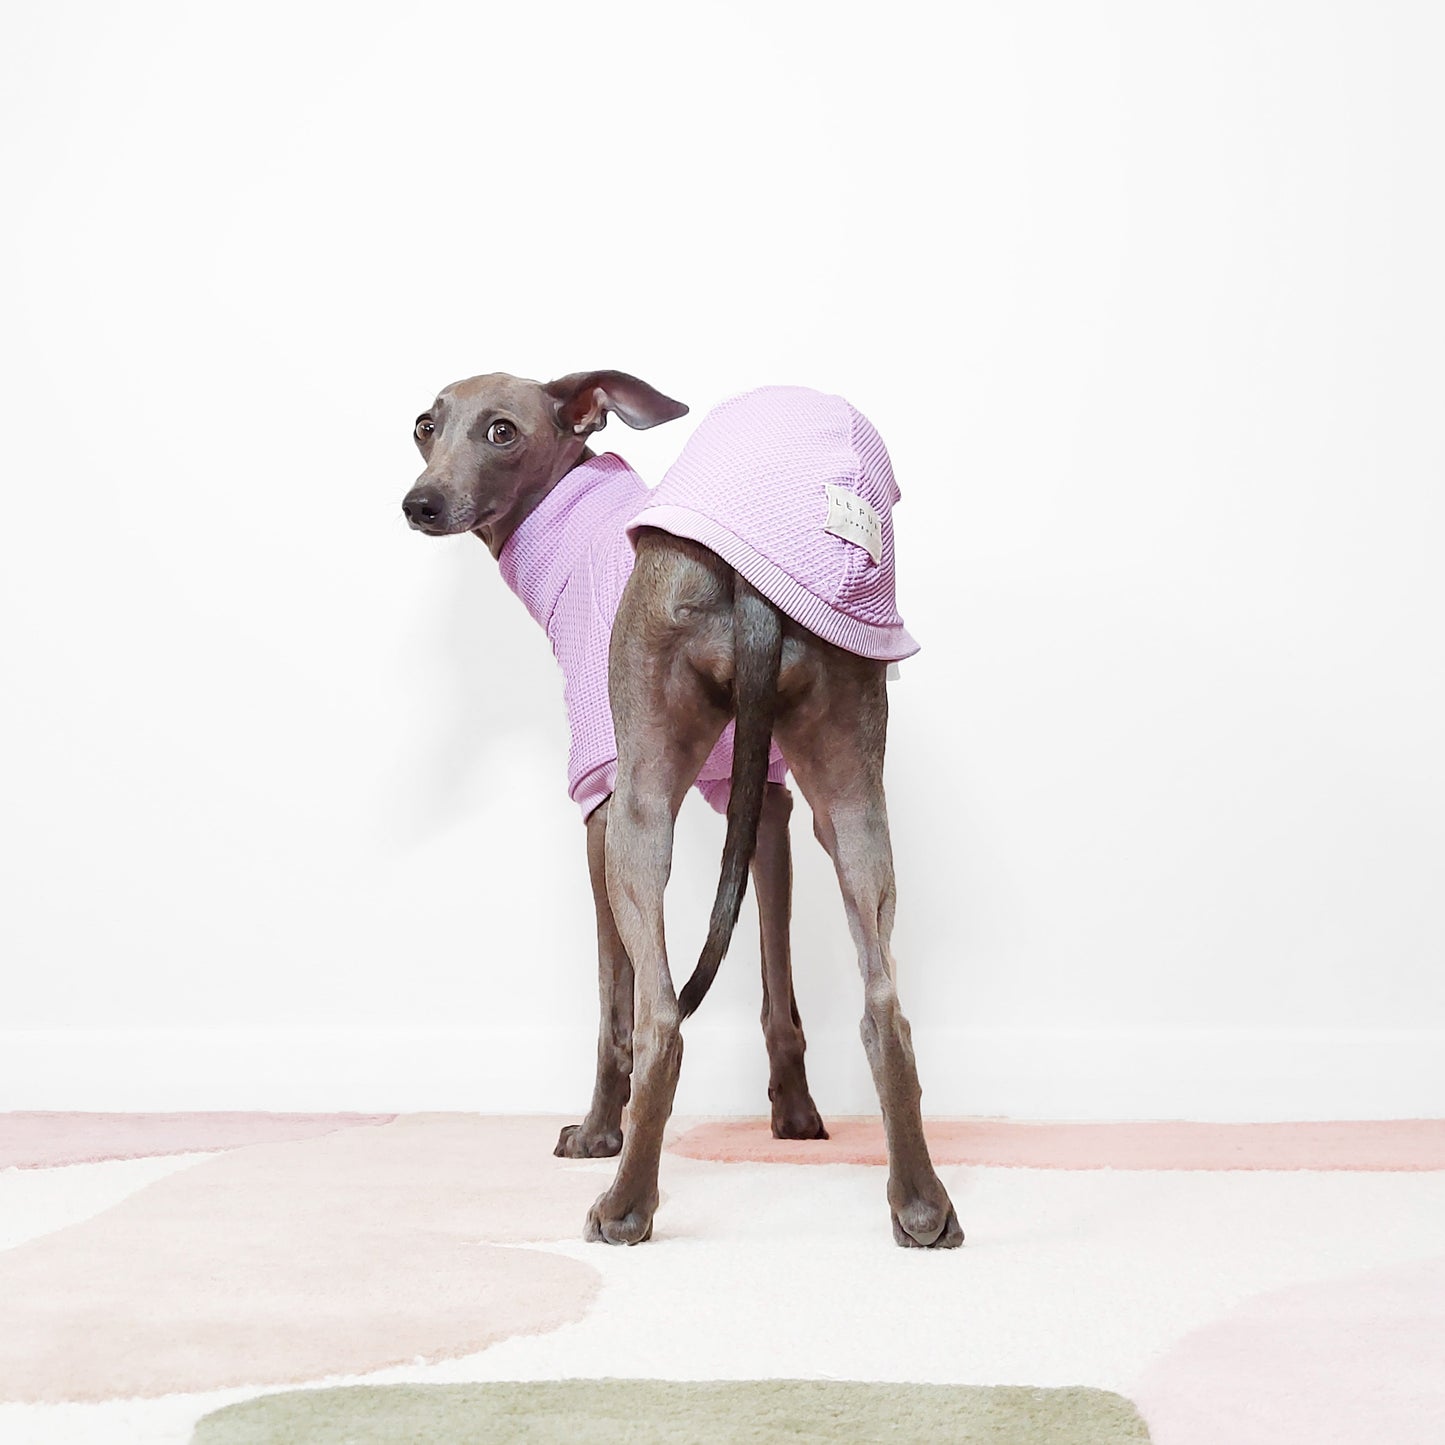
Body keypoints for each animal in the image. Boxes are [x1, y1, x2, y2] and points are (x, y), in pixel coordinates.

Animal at [401, 367, 959, 1248]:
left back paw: (625, 1203)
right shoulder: (765, 802)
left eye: (501, 431)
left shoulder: (602, 804)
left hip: (643, 807)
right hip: (851, 800)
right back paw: (921, 1203)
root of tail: (750, 587)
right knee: (884, 1004)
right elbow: (776, 982)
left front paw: (597, 1133)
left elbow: (614, 1001)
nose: (419, 504)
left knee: (661, 1015)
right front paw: (795, 1118)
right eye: (426, 424)